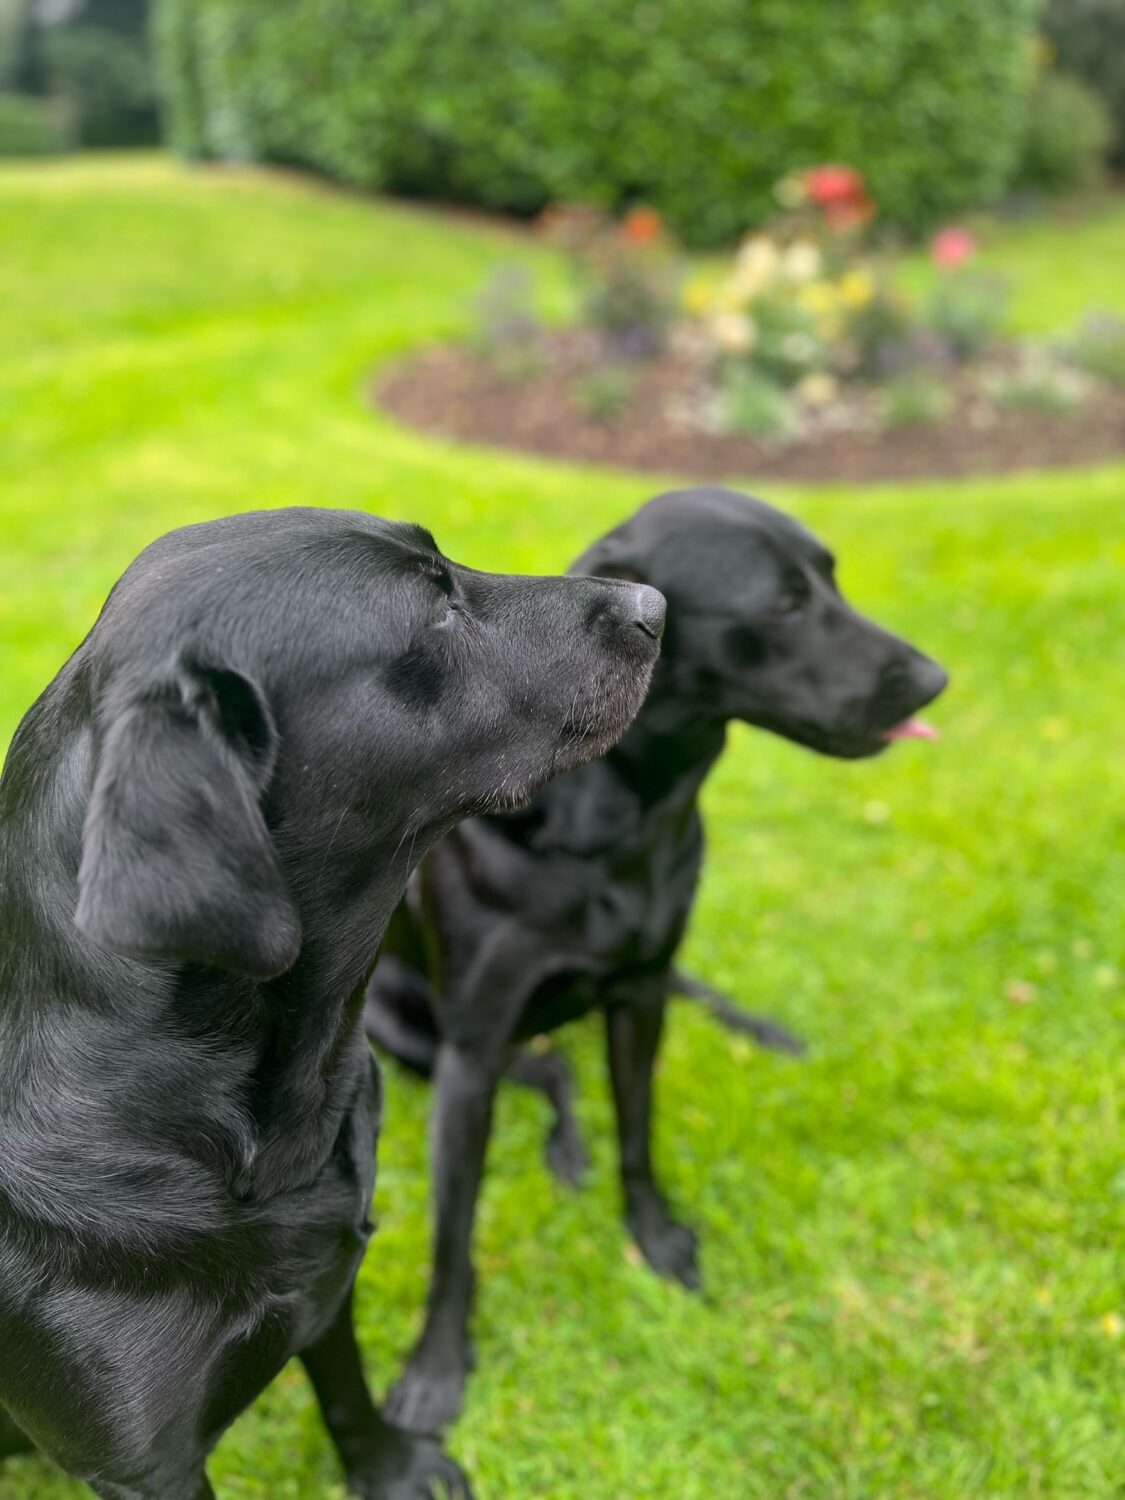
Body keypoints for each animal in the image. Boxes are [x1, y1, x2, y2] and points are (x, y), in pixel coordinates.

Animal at [0, 506, 664, 1500]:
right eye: (434, 612)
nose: (654, 606)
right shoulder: (142, 1460)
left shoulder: (325, 1277)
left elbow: (344, 1388)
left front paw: (387, 1468)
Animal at [363, 486, 949, 1435]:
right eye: (782, 605)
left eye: (830, 577)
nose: (936, 680)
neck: (621, 815)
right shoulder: (473, 1045)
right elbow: (454, 1233)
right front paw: (436, 1367)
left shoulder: (639, 997)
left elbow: (638, 1129)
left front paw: (655, 1233)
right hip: (403, 1026)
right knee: (548, 1068)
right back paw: (565, 1149)